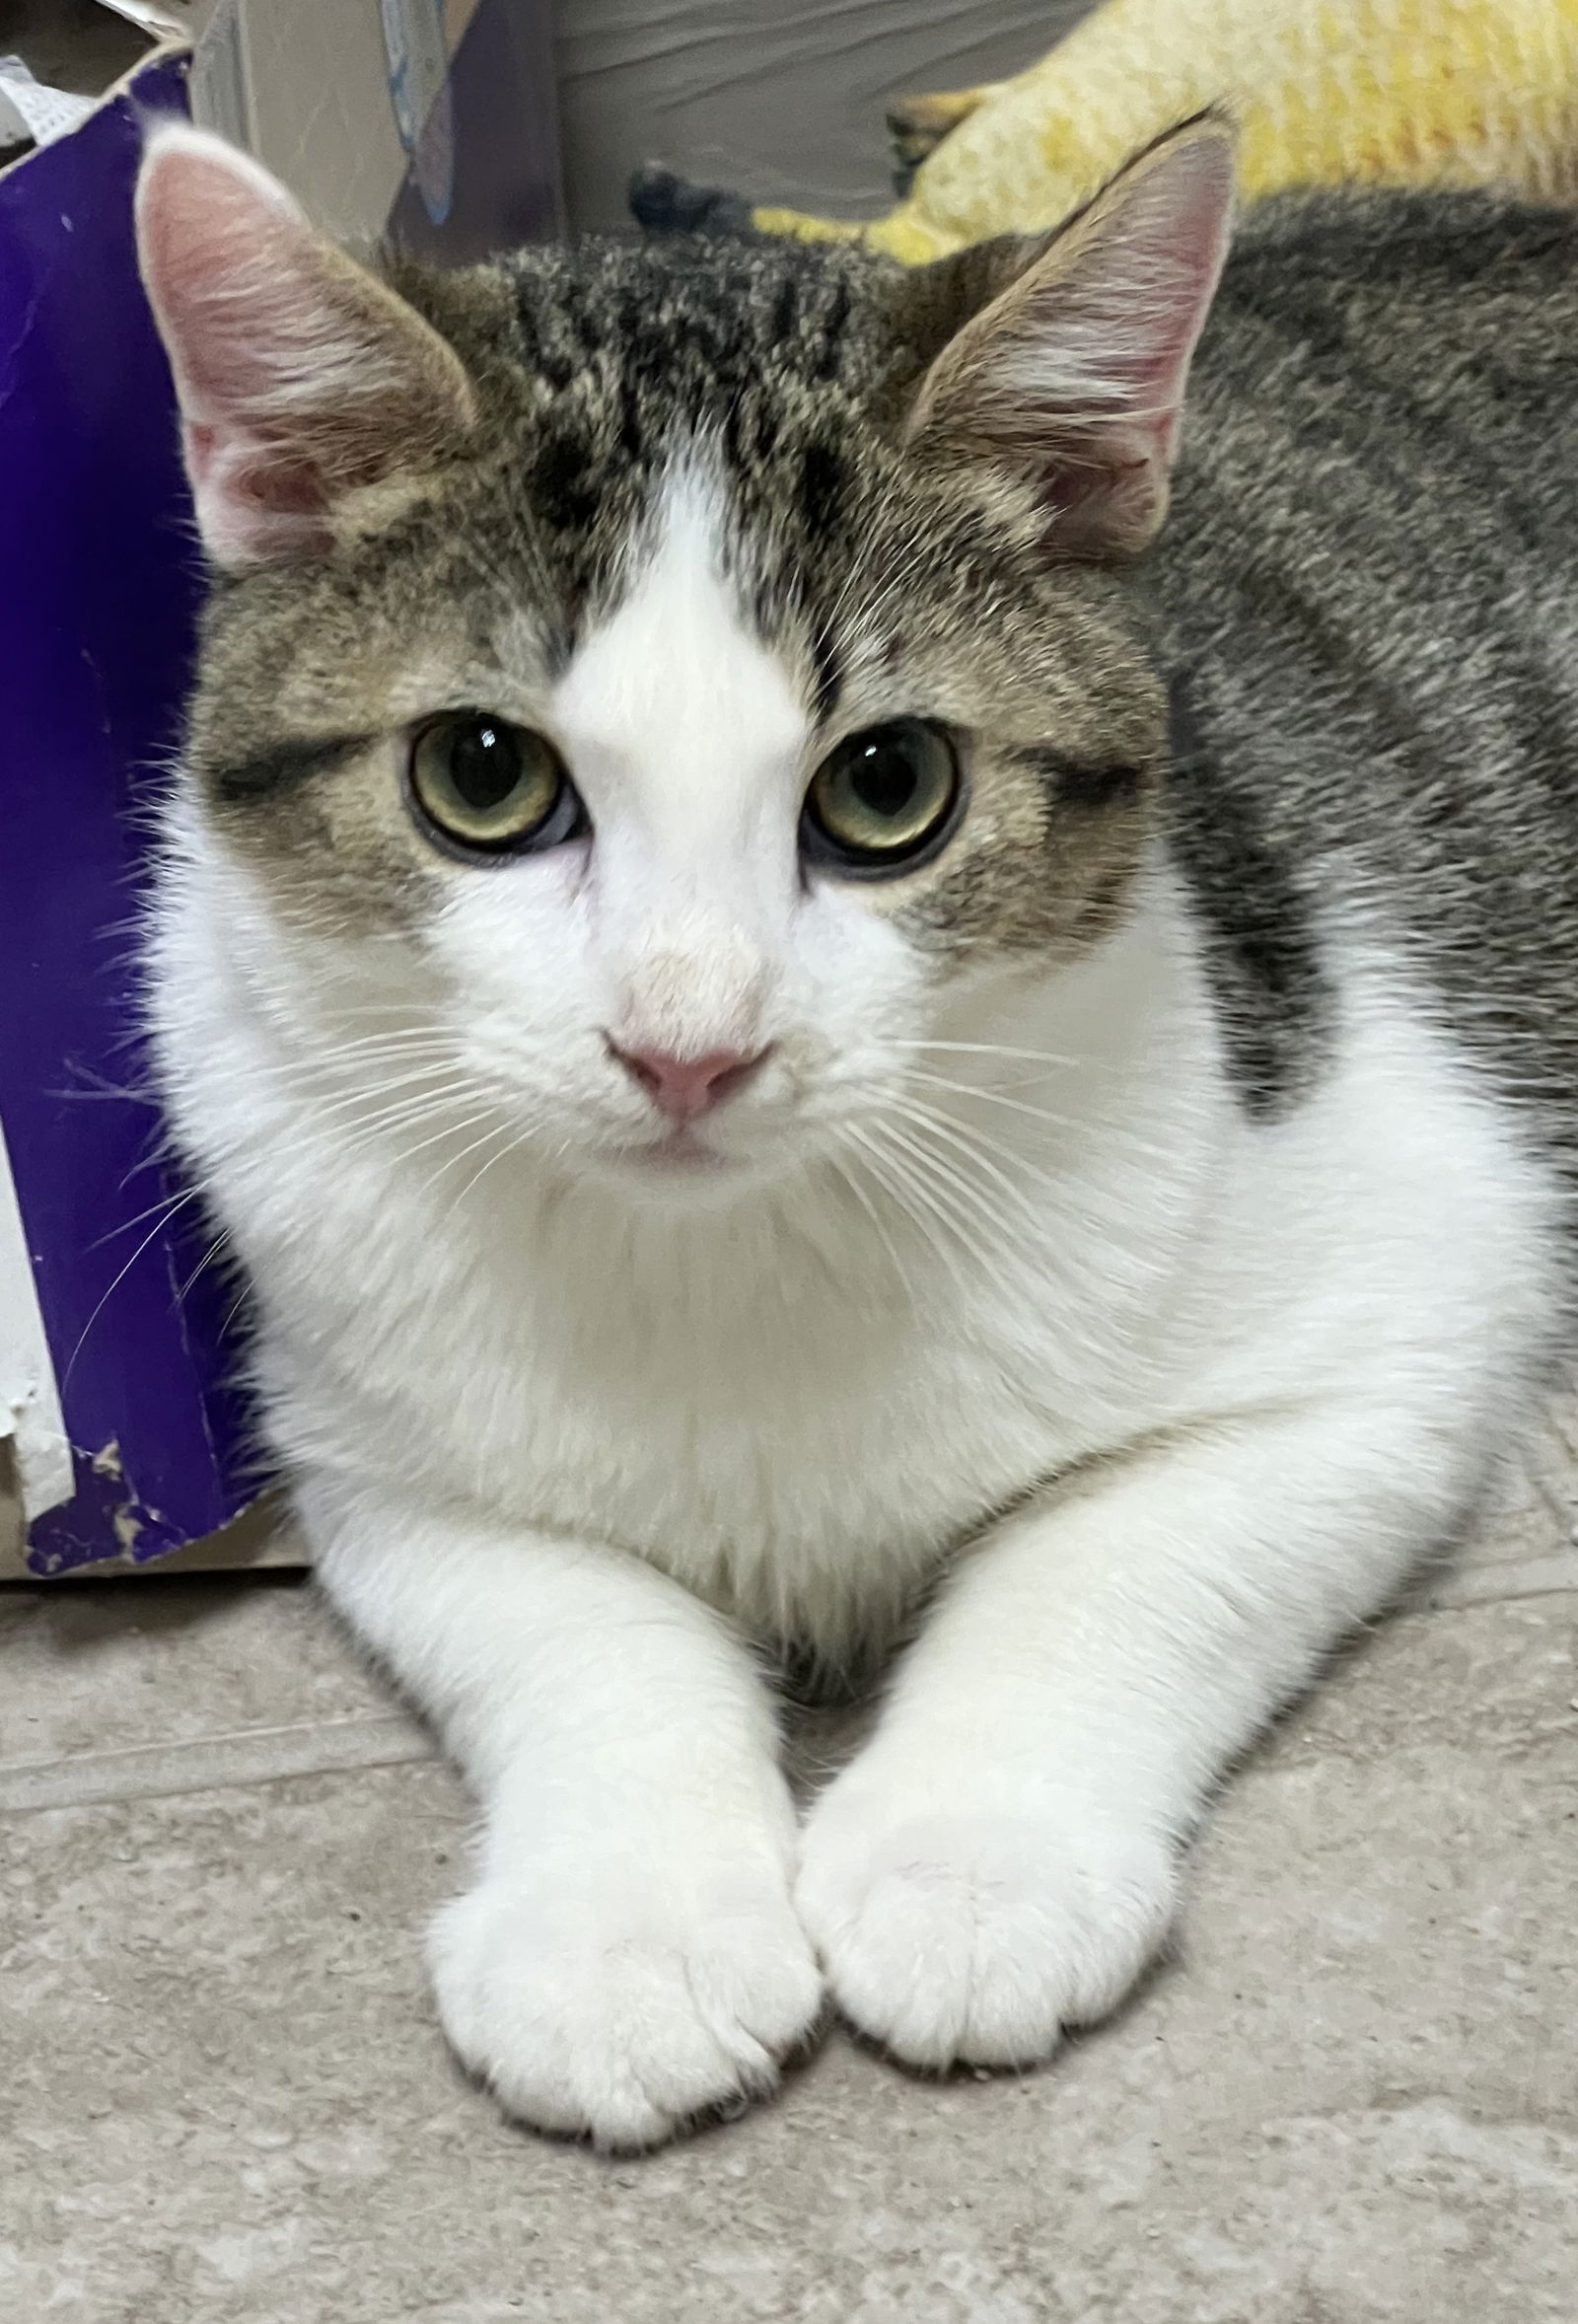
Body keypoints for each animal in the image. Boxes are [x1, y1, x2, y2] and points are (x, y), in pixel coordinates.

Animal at [132, 105, 1578, 2138]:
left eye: (889, 786)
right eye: (480, 776)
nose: (688, 1043)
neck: (725, 1254)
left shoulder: (1406, 1288)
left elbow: (1115, 1546)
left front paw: (970, 1861)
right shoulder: (356, 1417)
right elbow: (560, 1610)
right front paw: (629, 1920)